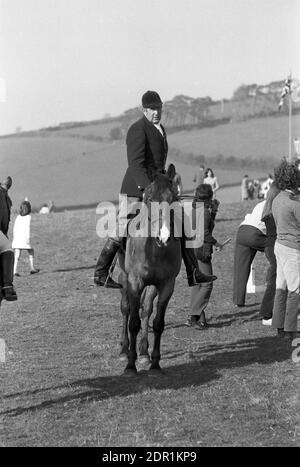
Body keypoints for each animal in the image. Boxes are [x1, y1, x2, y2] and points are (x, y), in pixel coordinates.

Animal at [118, 170, 182, 374]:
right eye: (150, 198)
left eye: (173, 197)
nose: (164, 237)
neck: (154, 250)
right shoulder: (134, 282)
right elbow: (133, 322)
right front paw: (130, 365)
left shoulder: (167, 284)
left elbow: (158, 322)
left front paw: (154, 363)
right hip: (124, 279)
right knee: (125, 309)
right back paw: (124, 349)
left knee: (146, 309)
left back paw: (144, 352)